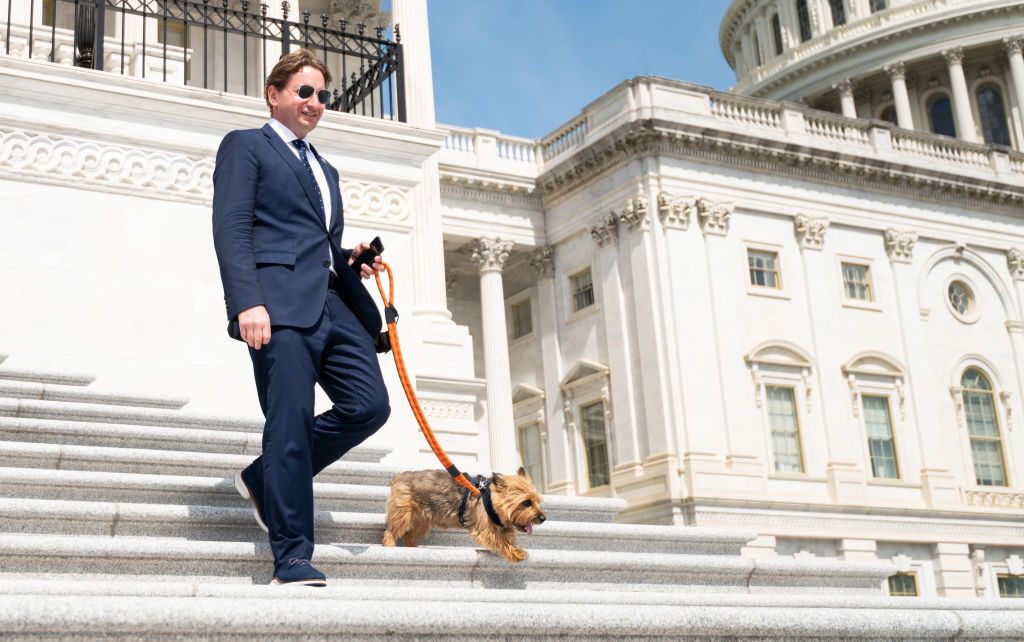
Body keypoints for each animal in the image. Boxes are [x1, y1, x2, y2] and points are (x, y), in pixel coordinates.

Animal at [382, 466, 544, 561]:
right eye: (526, 503)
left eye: (538, 501)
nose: (543, 518)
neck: (490, 498)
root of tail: (398, 476)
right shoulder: (485, 529)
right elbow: (501, 541)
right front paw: (517, 553)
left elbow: (508, 536)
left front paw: (515, 548)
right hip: (403, 514)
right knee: (391, 531)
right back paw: (390, 546)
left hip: (422, 521)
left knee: (409, 536)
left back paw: (412, 548)